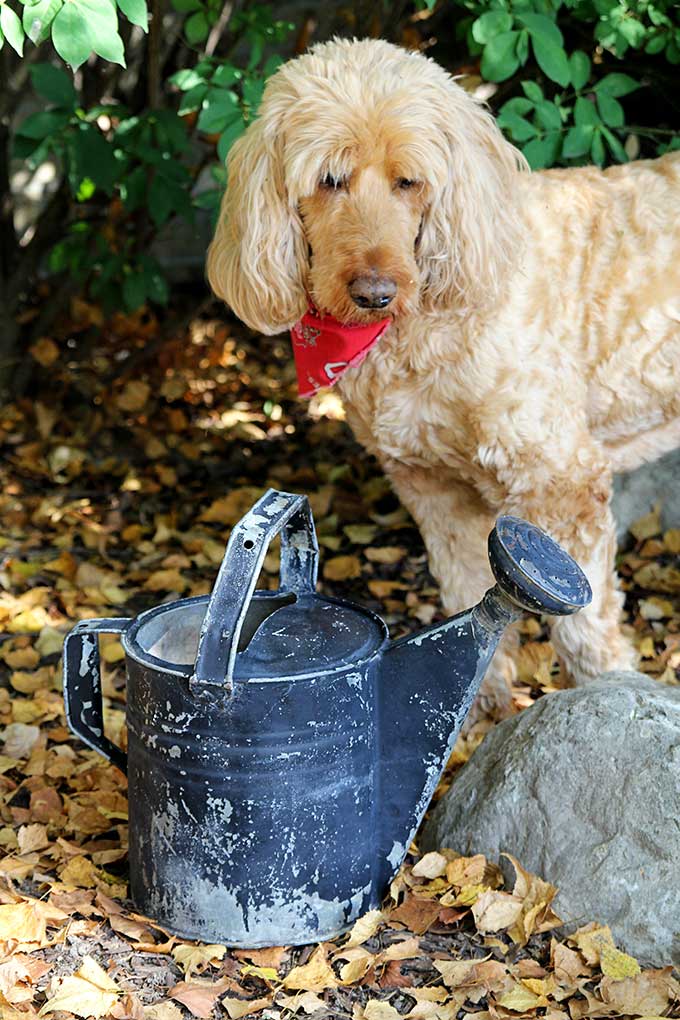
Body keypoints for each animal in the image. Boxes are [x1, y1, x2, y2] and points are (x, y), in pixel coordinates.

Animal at [205, 37, 680, 709]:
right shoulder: (433, 489)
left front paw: (608, 688)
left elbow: (581, 619)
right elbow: (463, 595)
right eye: (329, 179)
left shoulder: (561, 481)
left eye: (409, 181)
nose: (374, 293)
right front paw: (478, 702)